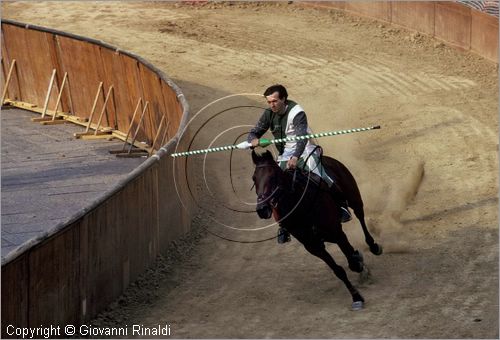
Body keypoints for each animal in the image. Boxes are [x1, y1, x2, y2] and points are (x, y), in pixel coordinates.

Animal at [252, 150, 380, 310]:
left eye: (273, 176)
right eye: (254, 179)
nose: (262, 209)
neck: (301, 208)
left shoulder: (337, 234)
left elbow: (352, 260)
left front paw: (360, 266)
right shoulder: (313, 246)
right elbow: (338, 270)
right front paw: (356, 297)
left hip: (354, 198)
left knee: (361, 217)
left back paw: (373, 246)